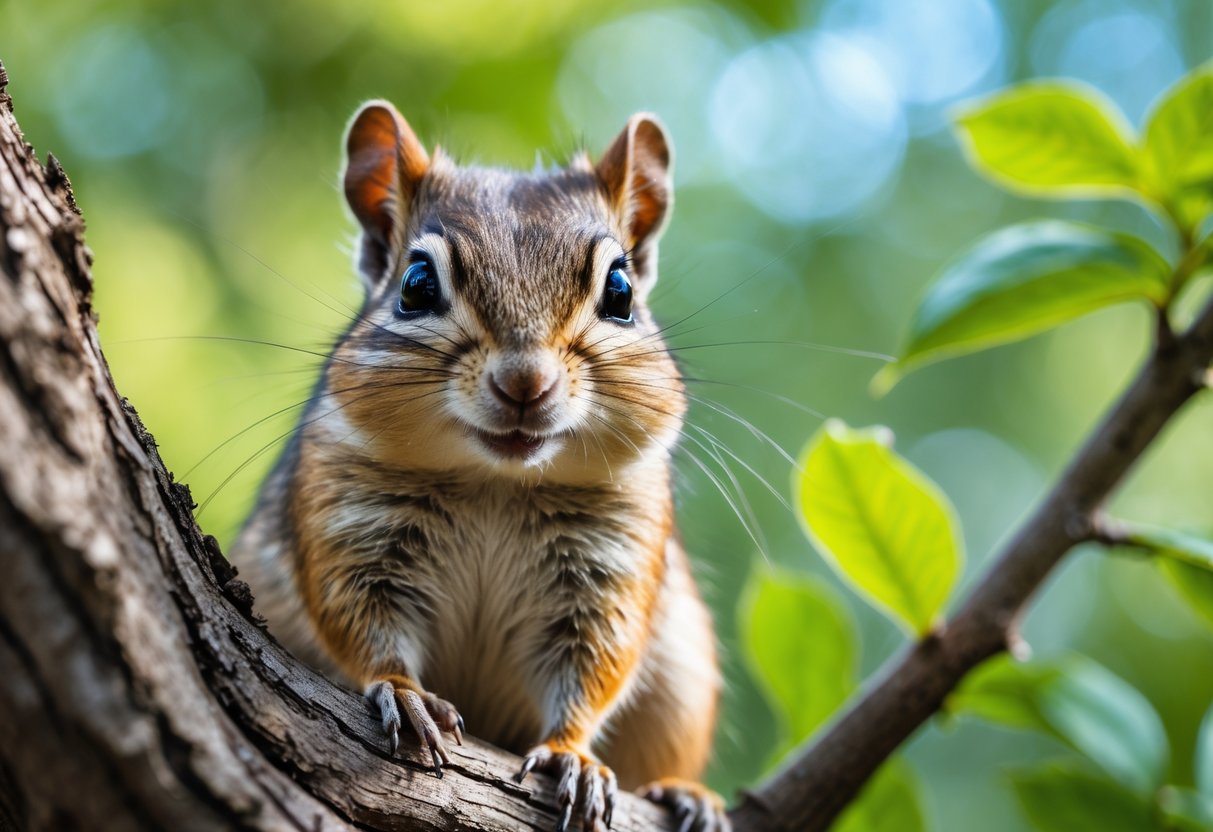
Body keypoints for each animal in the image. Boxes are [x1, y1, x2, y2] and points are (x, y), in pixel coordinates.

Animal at [231, 100, 727, 832]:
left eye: (620, 290)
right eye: (415, 283)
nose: (525, 382)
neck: (496, 483)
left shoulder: (610, 561)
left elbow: (595, 667)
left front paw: (573, 753)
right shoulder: (346, 522)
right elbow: (357, 621)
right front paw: (403, 691)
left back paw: (686, 794)